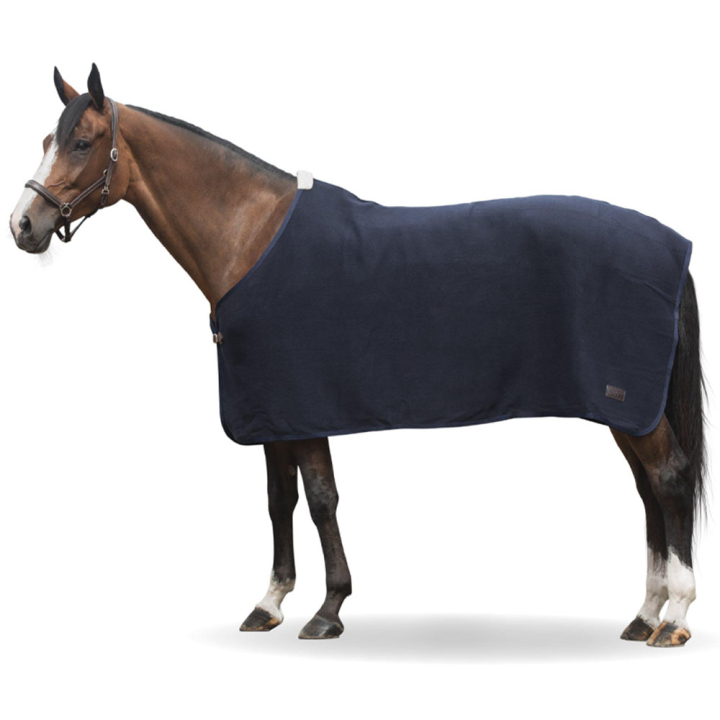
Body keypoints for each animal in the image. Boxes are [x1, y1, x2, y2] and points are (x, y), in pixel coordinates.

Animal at [10, 65, 706, 647]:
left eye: (82, 142)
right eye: (47, 137)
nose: (23, 225)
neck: (251, 236)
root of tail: (675, 247)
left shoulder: (302, 404)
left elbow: (320, 499)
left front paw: (327, 610)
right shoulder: (271, 410)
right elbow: (280, 500)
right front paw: (270, 603)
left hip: (628, 407)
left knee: (669, 478)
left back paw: (674, 615)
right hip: (629, 412)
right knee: (648, 490)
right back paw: (643, 615)